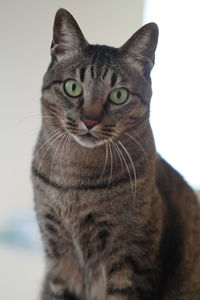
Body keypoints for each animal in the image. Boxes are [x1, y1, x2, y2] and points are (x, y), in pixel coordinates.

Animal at [31, 8, 200, 300]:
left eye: (119, 95)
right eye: (73, 87)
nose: (89, 120)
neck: (74, 180)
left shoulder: (130, 263)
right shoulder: (57, 260)